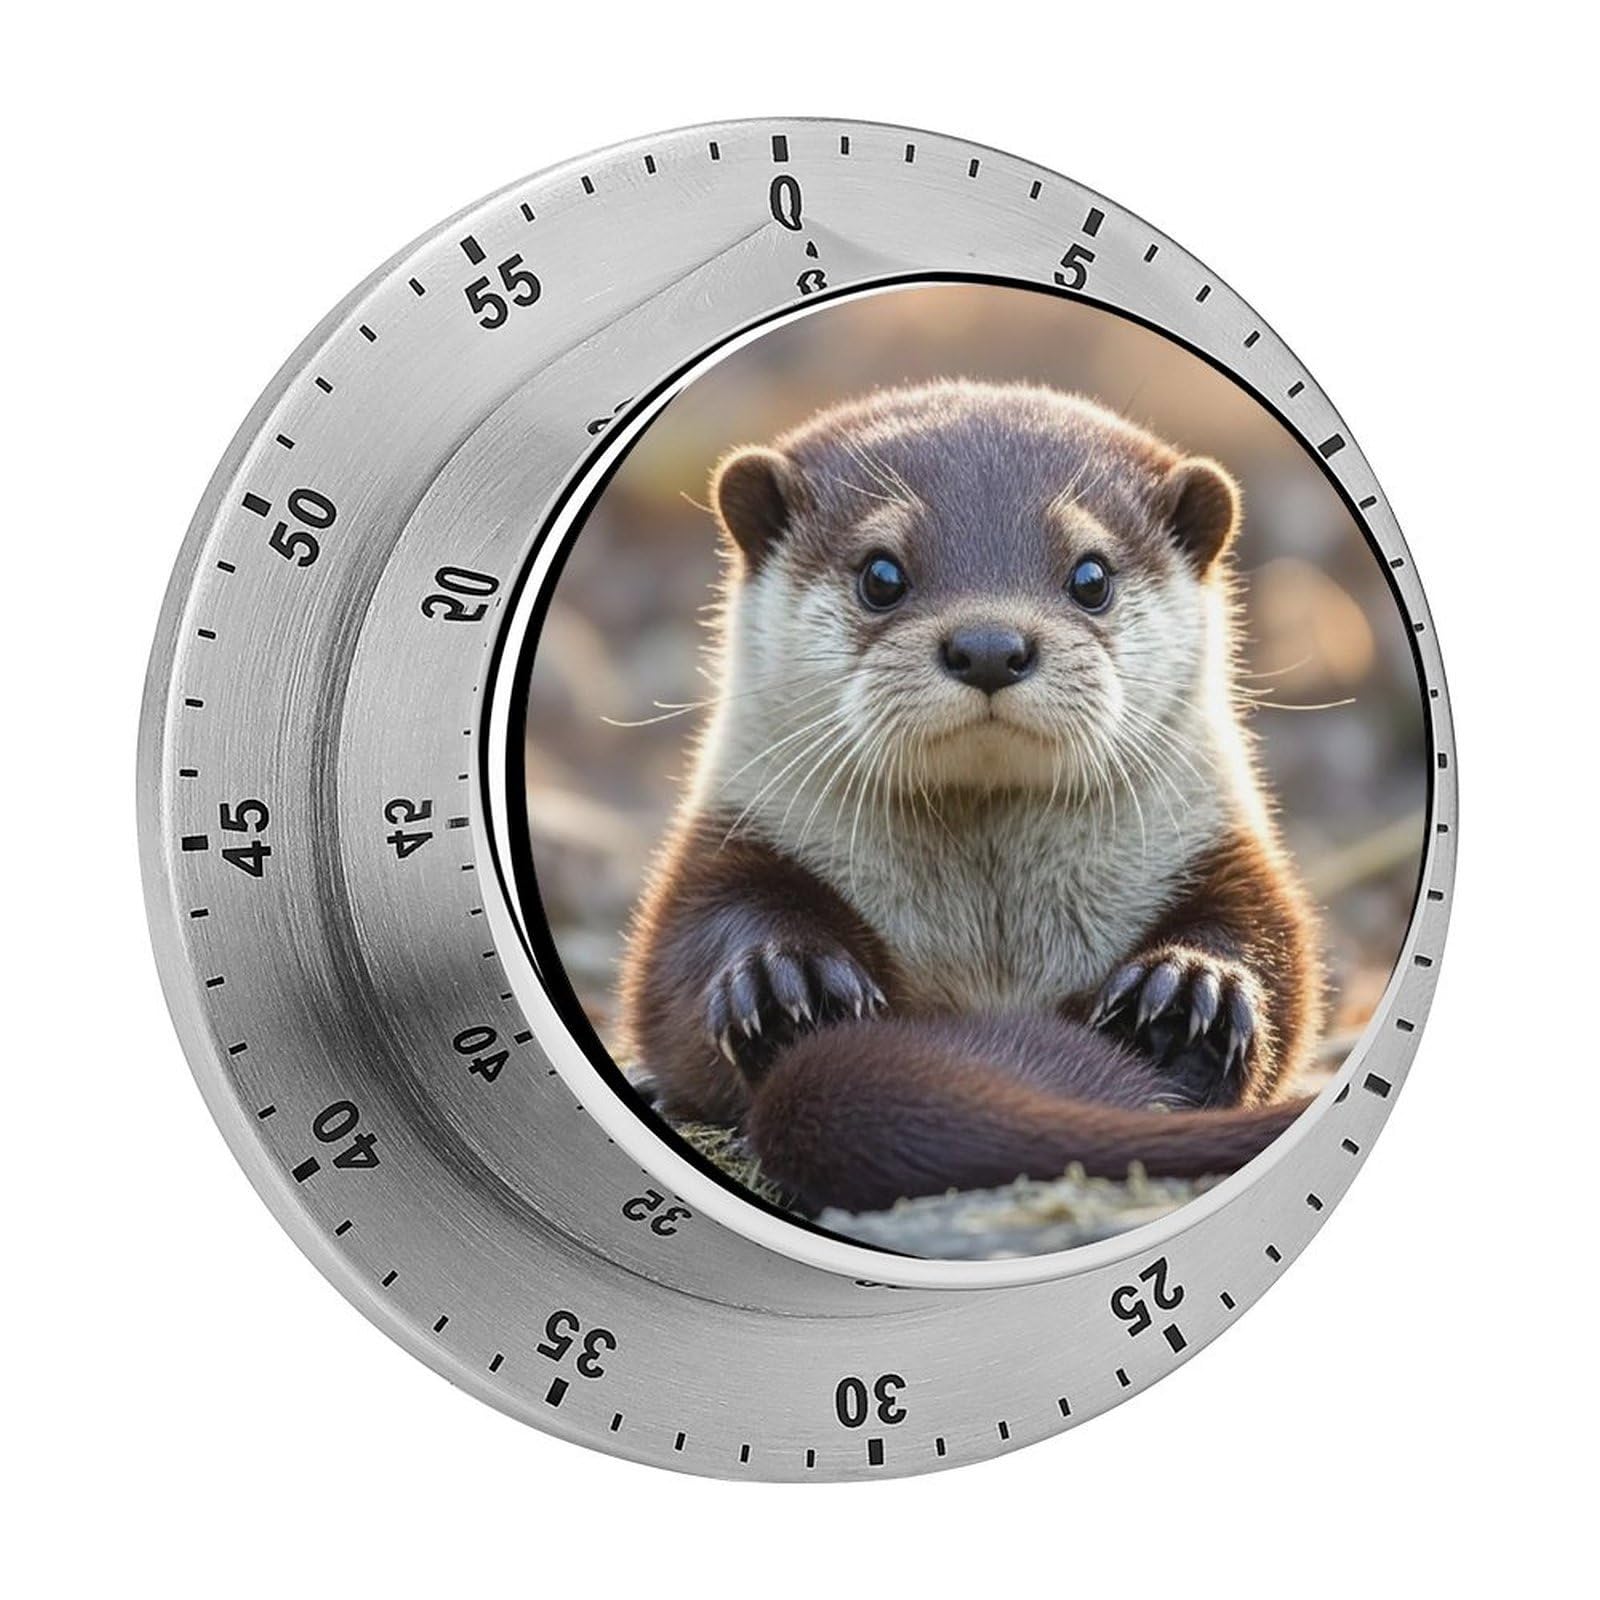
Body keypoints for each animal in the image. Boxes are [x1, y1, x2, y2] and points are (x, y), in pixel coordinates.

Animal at [619, 380, 1321, 1215]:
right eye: (881, 575)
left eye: (1091, 577)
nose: (989, 646)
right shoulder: (727, 842)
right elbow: (682, 967)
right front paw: (786, 980)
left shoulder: (1221, 850)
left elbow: (1269, 947)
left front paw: (1190, 994)